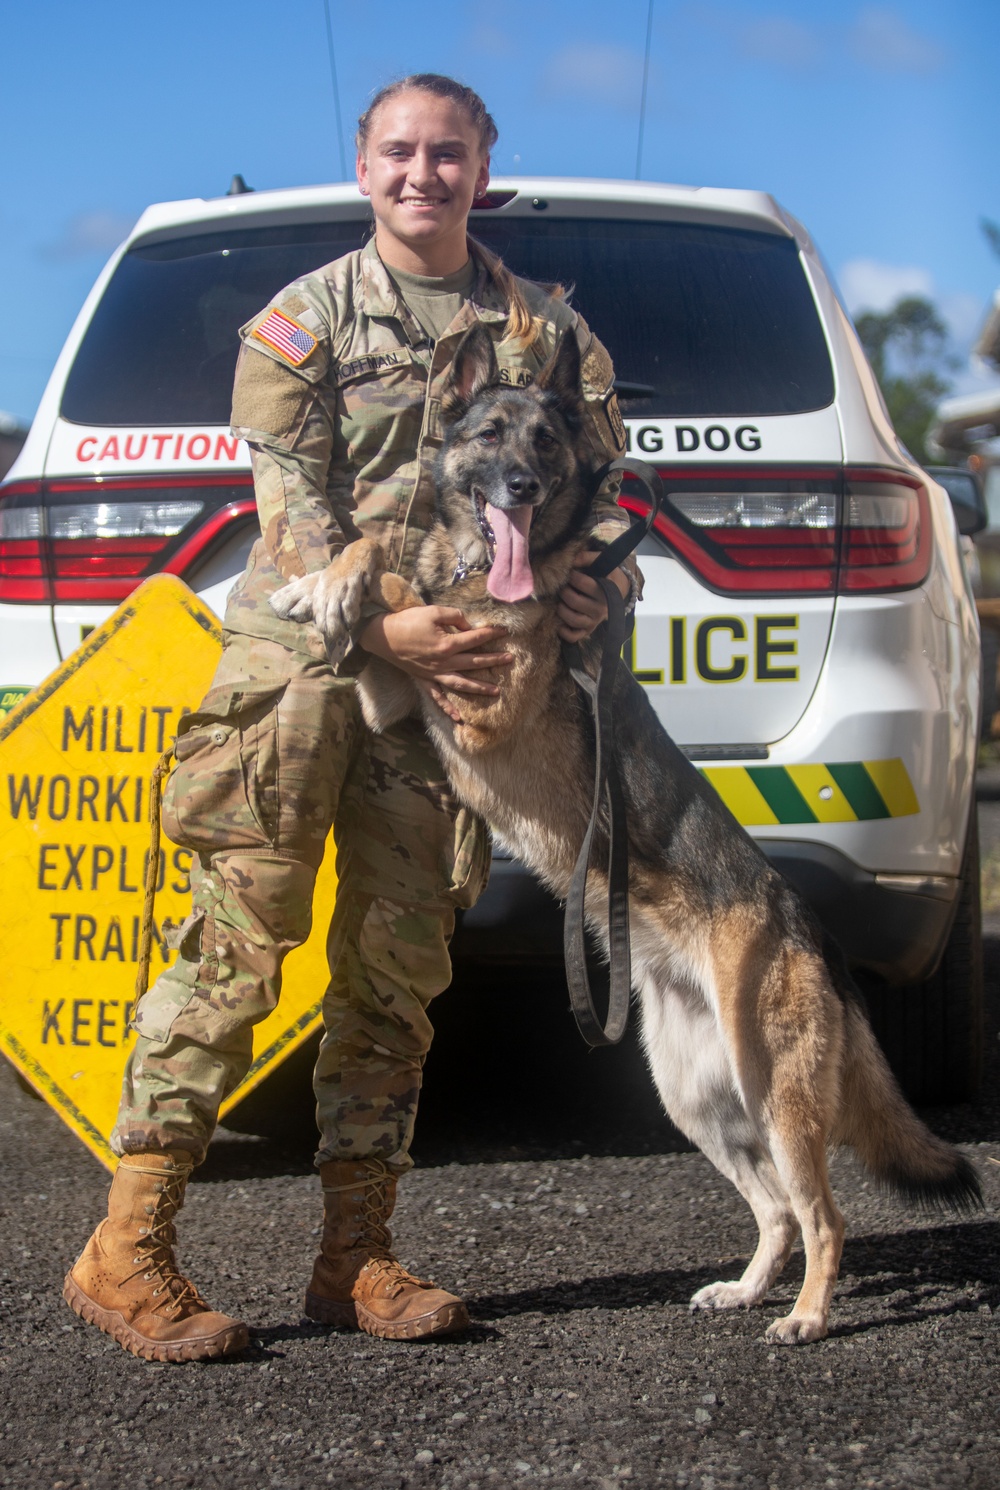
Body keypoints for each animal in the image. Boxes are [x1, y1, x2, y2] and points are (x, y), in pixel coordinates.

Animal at [274, 323, 983, 1341]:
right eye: (489, 436)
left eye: (547, 444)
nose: (523, 489)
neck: (486, 570)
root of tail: (813, 933)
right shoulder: (398, 696)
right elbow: (383, 565)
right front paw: (322, 587)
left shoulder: (477, 707)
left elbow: (399, 603)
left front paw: (340, 596)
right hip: (696, 1096)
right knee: (775, 1209)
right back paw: (748, 1289)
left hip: (776, 1090)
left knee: (824, 1213)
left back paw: (806, 1315)